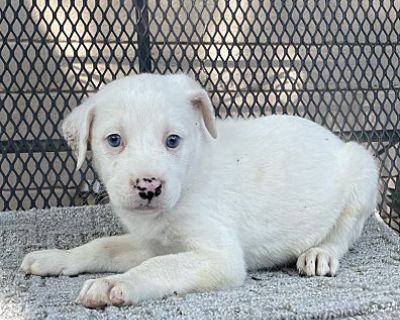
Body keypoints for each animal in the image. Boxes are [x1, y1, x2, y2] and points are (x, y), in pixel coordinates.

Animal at [21, 72, 378, 308]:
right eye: (114, 140)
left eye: (173, 141)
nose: (149, 186)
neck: (188, 178)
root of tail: (334, 139)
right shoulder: (150, 244)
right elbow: (102, 246)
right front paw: (56, 258)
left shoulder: (219, 257)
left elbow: (159, 267)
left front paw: (115, 283)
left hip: (362, 170)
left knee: (344, 233)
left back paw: (320, 253)